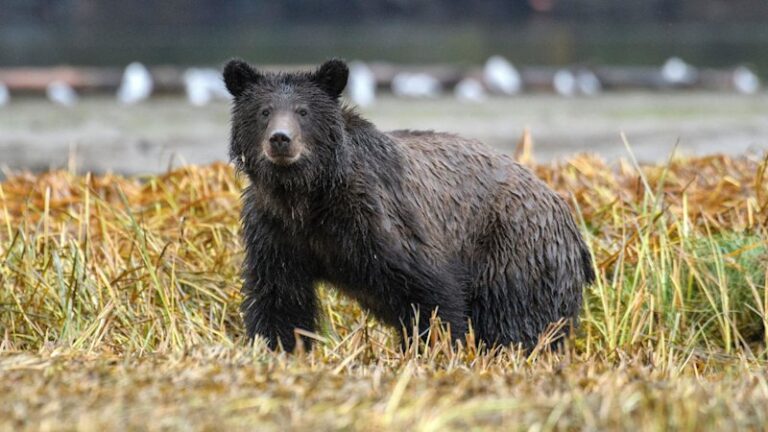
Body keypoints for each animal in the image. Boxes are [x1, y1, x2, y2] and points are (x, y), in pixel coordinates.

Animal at [223, 58, 595, 352]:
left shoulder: (377, 221)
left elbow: (431, 292)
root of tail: (566, 213)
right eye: (264, 111)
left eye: (303, 111)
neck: (306, 196)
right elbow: (279, 299)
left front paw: (433, 348)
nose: (281, 140)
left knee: (519, 320)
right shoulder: (276, 232)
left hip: (515, 250)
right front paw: (277, 347)